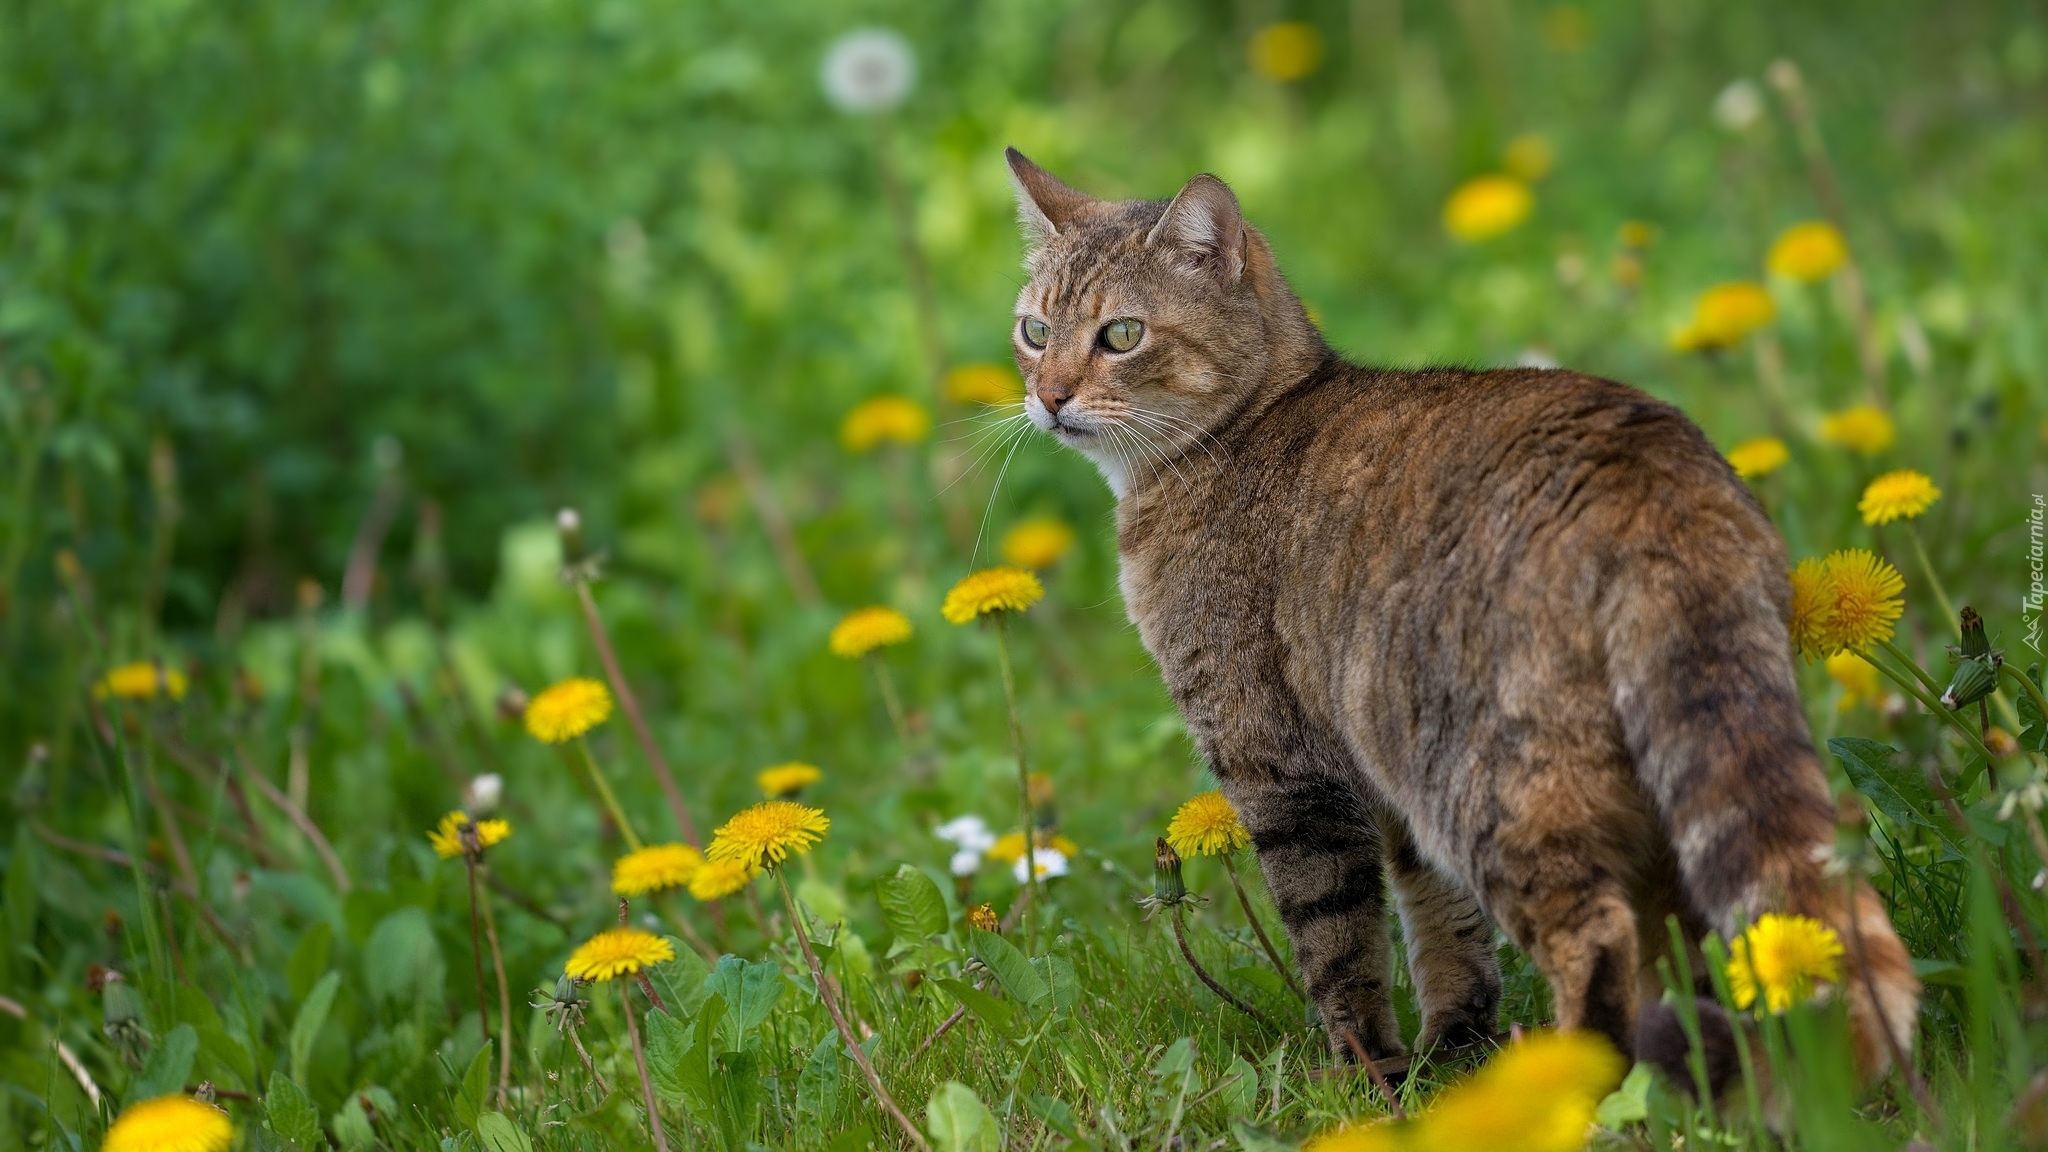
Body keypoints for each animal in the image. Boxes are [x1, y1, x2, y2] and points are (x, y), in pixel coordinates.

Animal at [1007, 147, 1916, 1082]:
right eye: (1034, 332)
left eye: (1121, 334)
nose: (1049, 396)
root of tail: (1652, 476)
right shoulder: (1385, 787)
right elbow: (1446, 929)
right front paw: (1453, 1047)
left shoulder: (1284, 770)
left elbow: (1338, 945)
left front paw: (1364, 1073)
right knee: (1691, 944)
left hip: (1488, 784)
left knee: (1597, 939)